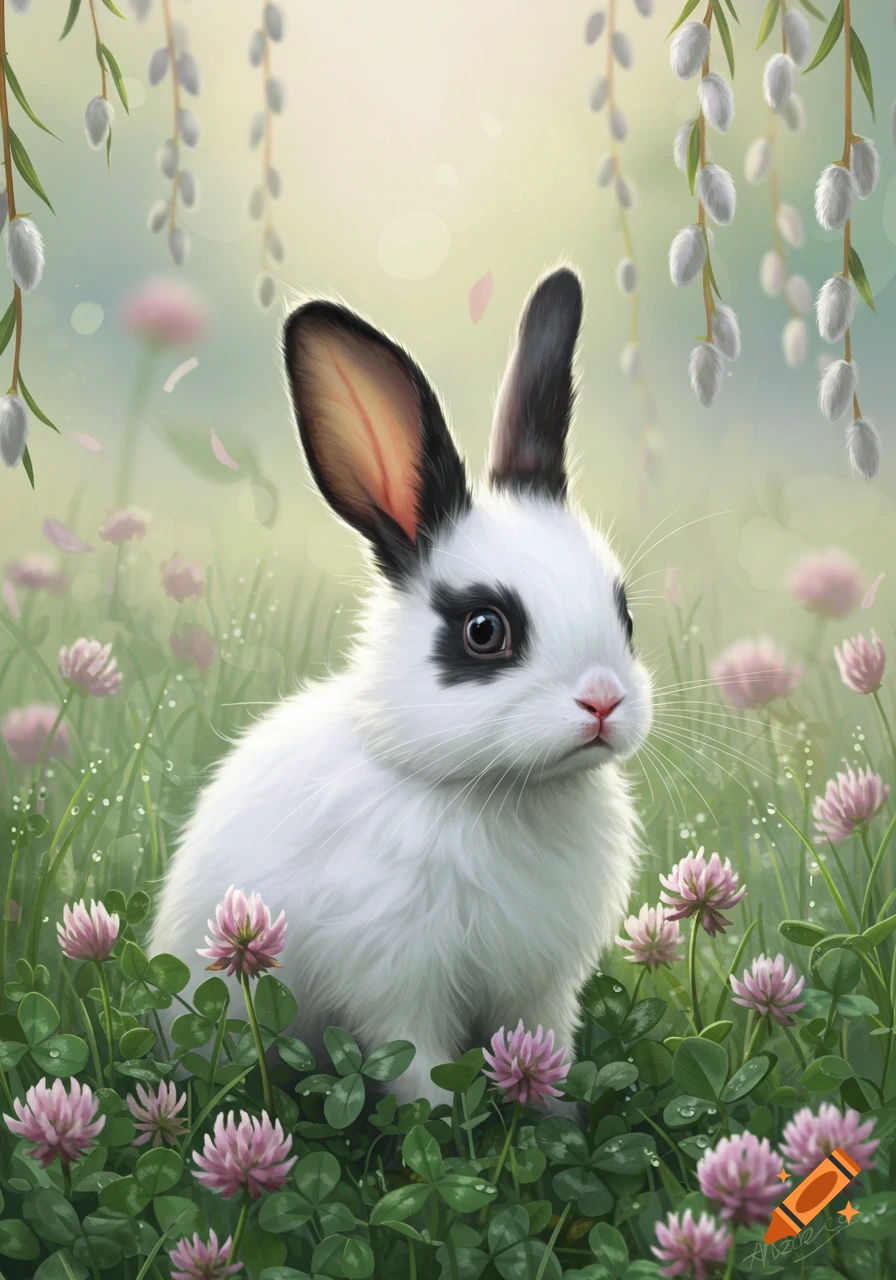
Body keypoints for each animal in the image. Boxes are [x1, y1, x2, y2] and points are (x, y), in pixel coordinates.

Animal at [150, 265, 653, 1111]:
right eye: (485, 629)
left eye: (625, 612)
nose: (603, 702)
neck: (497, 792)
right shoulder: (397, 982)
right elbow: (416, 1063)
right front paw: (450, 1121)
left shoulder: (542, 990)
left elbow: (543, 1047)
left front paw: (555, 1113)